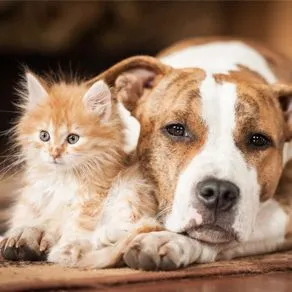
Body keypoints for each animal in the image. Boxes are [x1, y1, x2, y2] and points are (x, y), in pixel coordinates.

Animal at [0, 72, 127, 262]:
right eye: (44, 136)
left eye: (73, 139)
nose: (54, 153)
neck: (61, 179)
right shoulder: (32, 198)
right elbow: (27, 219)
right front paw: (21, 235)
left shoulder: (92, 200)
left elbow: (73, 228)